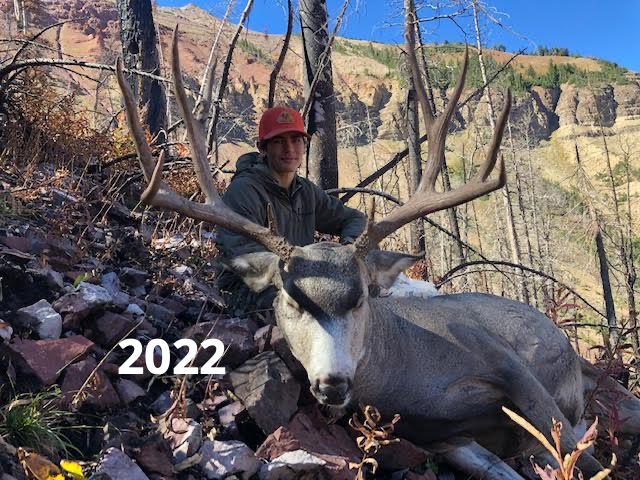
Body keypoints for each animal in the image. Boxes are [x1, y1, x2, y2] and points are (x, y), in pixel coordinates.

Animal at [115, 26, 640, 480]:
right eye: (291, 300)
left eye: (361, 297)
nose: (332, 382)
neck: (407, 373)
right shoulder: (441, 439)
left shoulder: (503, 361)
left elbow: (580, 453)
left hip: (599, 380)